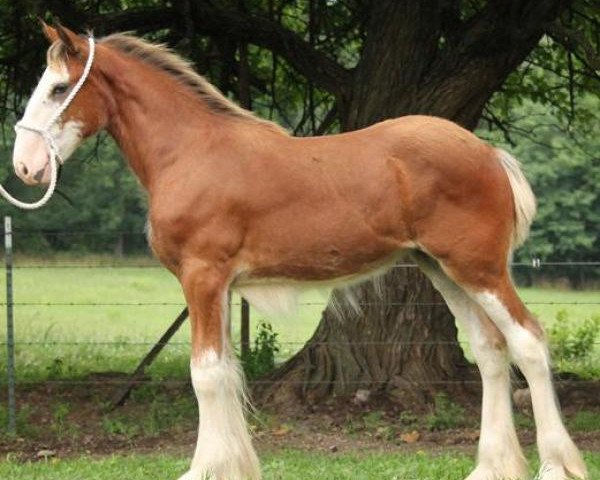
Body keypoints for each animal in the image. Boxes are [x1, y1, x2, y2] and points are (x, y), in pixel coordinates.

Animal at [11, 24, 588, 480]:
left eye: (59, 87)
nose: (25, 166)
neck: (193, 152)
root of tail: (487, 152)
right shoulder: (220, 287)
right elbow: (226, 373)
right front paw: (232, 467)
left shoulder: (202, 278)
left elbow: (205, 375)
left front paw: (203, 469)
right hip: (443, 269)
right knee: (491, 350)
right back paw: (492, 466)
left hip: (479, 268)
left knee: (528, 342)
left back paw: (557, 465)